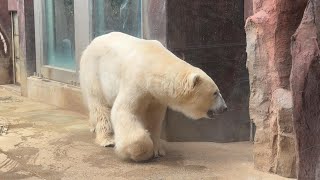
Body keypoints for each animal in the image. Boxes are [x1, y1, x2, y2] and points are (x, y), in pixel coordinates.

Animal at [79, 32, 228, 162]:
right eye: (215, 92)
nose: (225, 107)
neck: (153, 63)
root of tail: (91, 42)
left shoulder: (156, 96)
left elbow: (154, 119)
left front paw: (158, 150)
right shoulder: (135, 81)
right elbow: (124, 111)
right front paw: (140, 152)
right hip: (94, 72)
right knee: (99, 104)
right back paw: (107, 139)